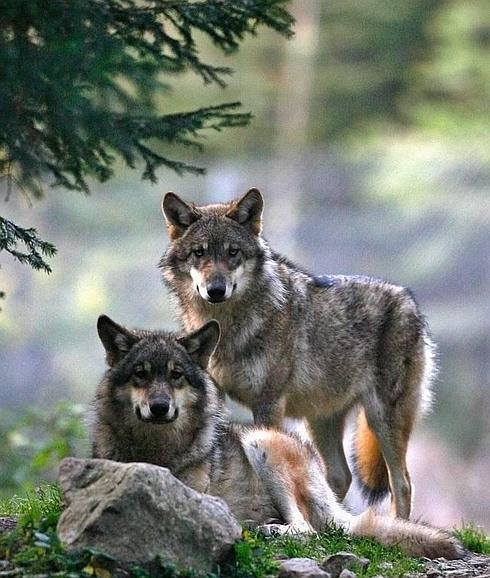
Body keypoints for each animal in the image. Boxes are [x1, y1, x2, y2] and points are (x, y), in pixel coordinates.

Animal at [91, 316, 464, 560]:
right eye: (140, 375)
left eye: (176, 375)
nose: (159, 407)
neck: (156, 451)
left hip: (262, 444)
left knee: (308, 530)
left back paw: (269, 530)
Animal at [161, 188, 436, 516]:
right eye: (199, 253)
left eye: (233, 252)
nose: (216, 290)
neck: (228, 327)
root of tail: (408, 299)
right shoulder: (218, 394)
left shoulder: (269, 402)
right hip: (319, 420)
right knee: (339, 475)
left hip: (382, 419)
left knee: (402, 483)